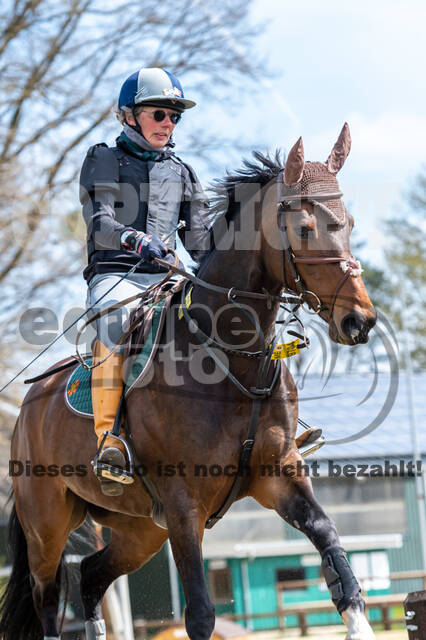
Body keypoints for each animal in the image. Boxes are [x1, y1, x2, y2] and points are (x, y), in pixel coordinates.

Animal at [2, 124, 376, 640]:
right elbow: (199, 612)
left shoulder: (278, 476)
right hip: (48, 525)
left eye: (350, 222)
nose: (360, 320)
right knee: (47, 597)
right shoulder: (183, 506)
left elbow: (334, 553)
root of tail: (30, 404)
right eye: (304, 228)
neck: (230, 359)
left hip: (140, 529)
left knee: (93, 577)